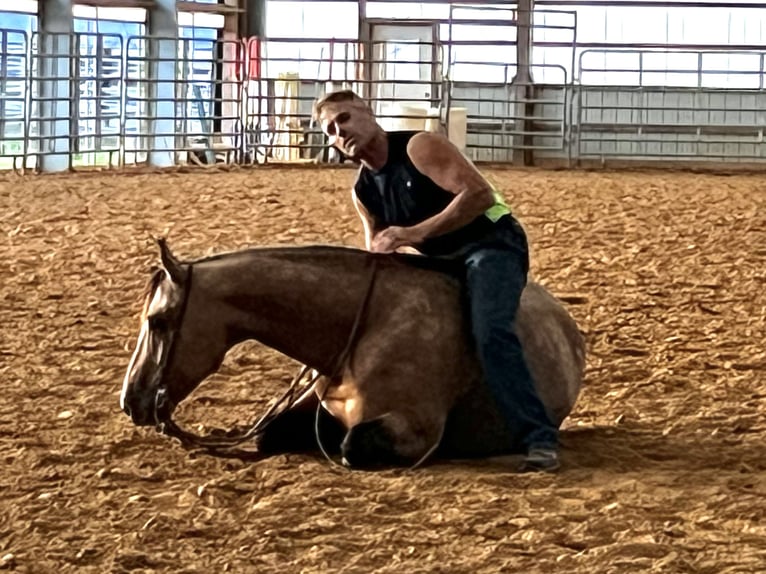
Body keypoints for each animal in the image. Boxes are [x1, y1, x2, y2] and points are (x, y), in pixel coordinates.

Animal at [121, 238, 588, 468]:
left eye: (158, 321)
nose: (130, 400)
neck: (366, 324)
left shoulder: (413, 429)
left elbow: (353, 445)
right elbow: (274, 434)